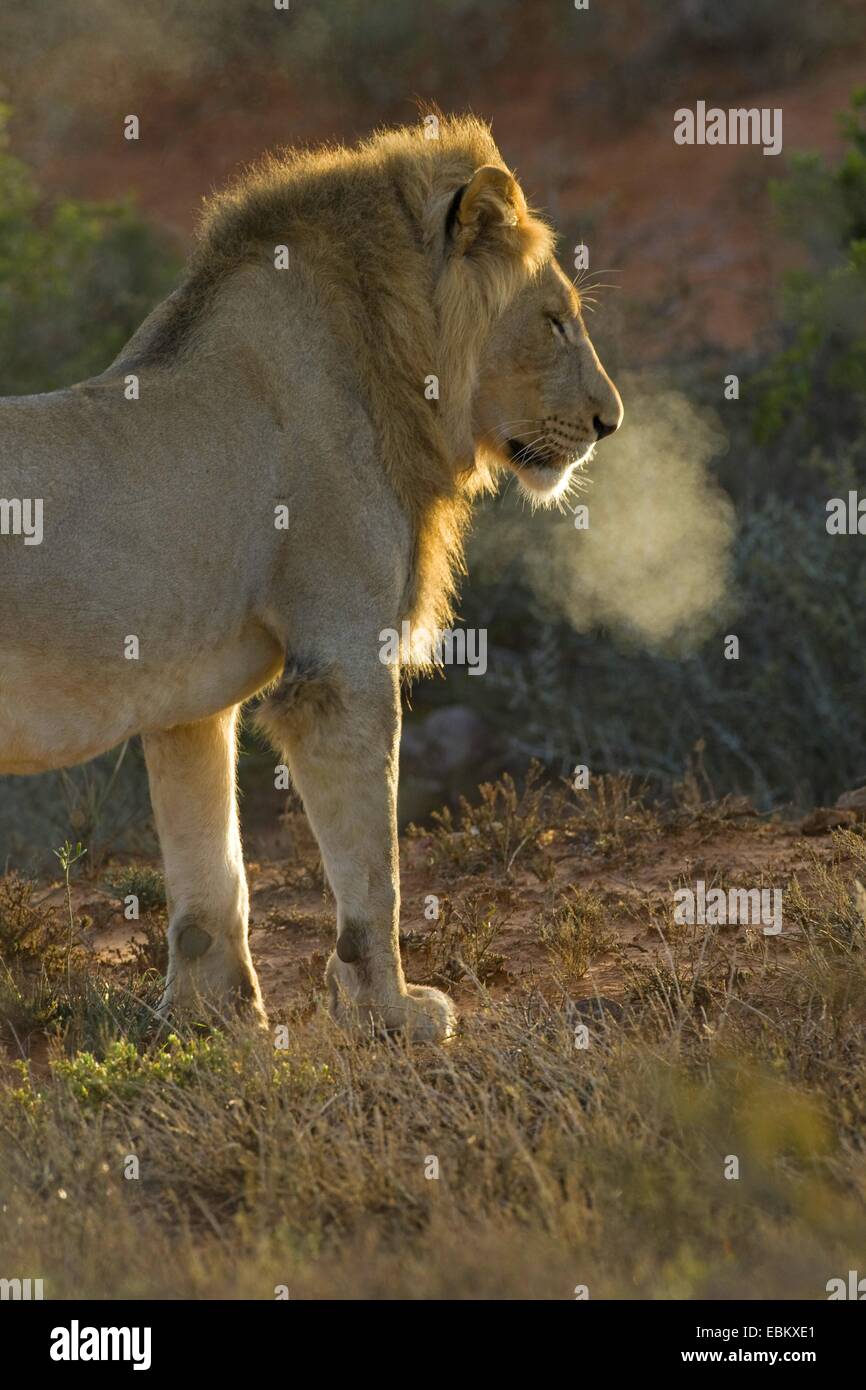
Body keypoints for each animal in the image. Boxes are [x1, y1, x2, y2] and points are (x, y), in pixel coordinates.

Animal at [0, 116, 622, 1045]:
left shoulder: (185, 699)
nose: (609, 421)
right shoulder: (341, 664)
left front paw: (212, 1022)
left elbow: (213, 872)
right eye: (553, 321)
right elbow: (375, 871)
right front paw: (392, 1013)